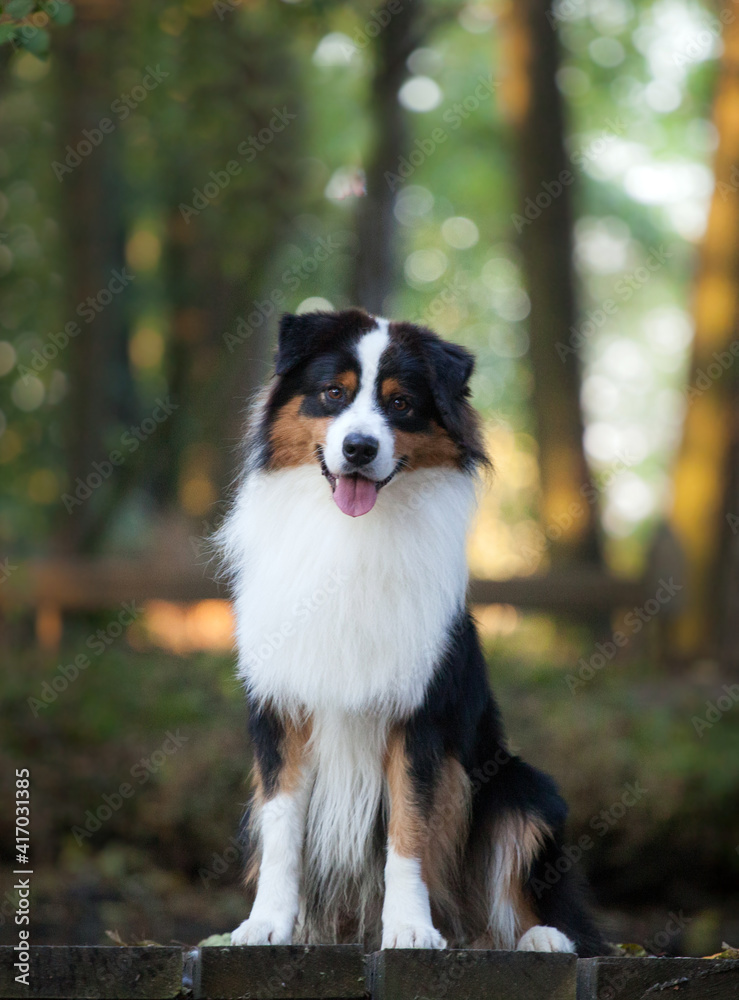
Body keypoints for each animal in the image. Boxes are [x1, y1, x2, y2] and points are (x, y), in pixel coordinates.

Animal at [215, 304, 608, 952]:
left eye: (400, 403)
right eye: (333, 393)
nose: (358, 448)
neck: (352, 535)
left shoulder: (420, 716)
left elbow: (411, 831)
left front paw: (409, 928)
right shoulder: (282, 708)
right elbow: (282, 833)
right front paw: (267, 924)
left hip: (521, 788)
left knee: (519, 900)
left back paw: (541, 938)